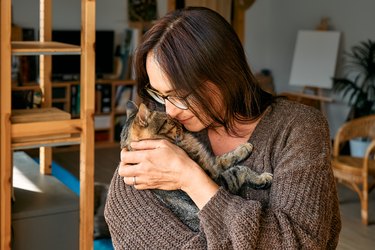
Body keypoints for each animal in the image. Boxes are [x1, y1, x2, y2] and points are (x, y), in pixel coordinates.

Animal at [121, 102, 274, 231]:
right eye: (169, 120)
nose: (181, 124)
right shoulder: (220, 181)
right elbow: (240, 170)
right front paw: (262, 178)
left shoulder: (212, 164)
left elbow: (225, 157)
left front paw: (244, 148)